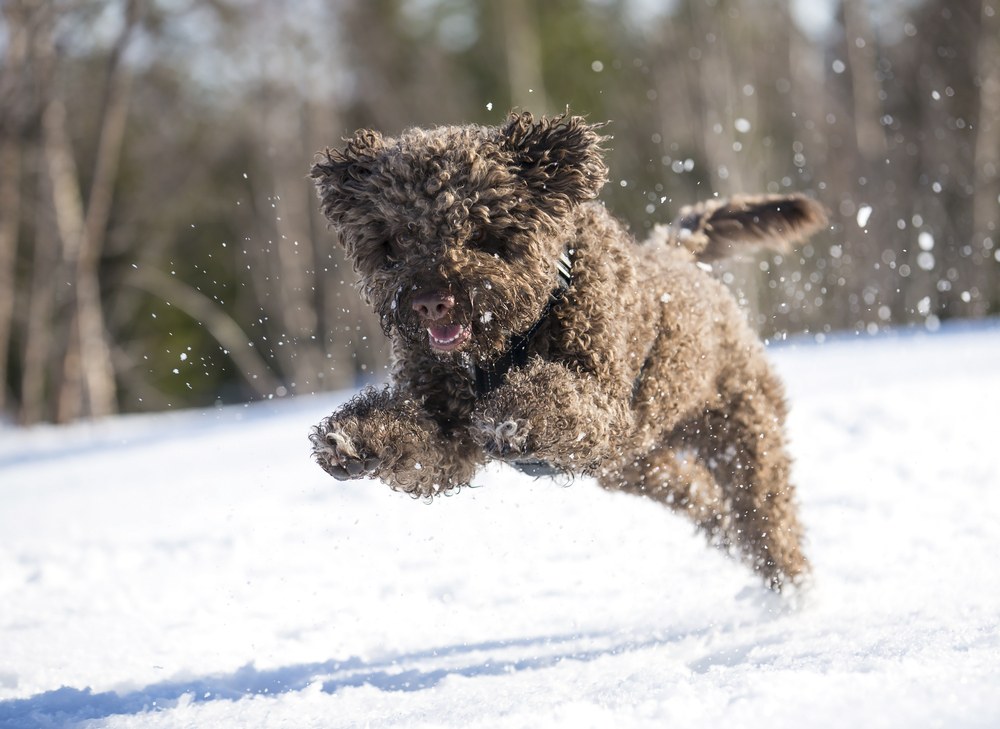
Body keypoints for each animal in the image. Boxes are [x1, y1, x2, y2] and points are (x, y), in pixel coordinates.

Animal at [308, 112, 824, 592]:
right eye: (396, 239)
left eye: (482, 231)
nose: (431, 301)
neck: (503, 347)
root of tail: (679, 254)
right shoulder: (448, 431)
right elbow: (422, 446)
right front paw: (354, 439)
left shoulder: (603, 405)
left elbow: (556, 399)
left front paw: (516, 418)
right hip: (636, 466)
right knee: (704, 500)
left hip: (742, 434)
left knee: (766, 519)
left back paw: (794, 593)